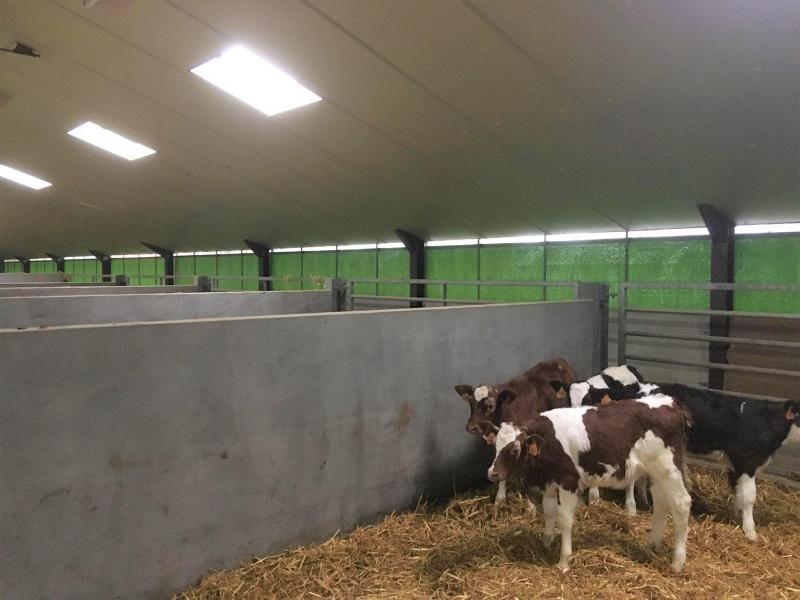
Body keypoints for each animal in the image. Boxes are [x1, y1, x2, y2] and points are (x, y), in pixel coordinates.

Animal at [484, 398, 692, 572]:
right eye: (495, 446)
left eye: (514, 449)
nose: (492, 473)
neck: (548, 442)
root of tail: (672, 404)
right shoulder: (550, 481)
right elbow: (549, 512)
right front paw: (546, 542)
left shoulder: (568, 481)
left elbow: (565, 519)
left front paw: (564, 561)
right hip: (656, 473)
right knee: (661, 503)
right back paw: (652, 545)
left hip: (670, 470)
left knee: (681, 504)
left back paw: (677, 562)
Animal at [656, 384, 800, 544]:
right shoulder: (747, 462)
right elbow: (749, 496)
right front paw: (750, 531)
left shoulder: (736, 465)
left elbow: (737, 490)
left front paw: (737, 516)